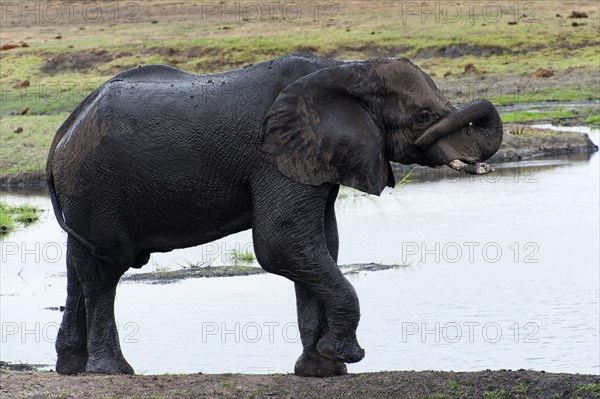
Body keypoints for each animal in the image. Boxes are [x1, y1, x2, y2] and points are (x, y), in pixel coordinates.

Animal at [47, 53, 504, 378]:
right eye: (422, 117)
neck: (348, 70)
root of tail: (65, 129)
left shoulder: (312, 157)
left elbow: (321, 245)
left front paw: (321, 370)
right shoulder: (273, 155)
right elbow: (282, 243)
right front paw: (344, 356)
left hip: (84, 192)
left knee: (77, 265)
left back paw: (71, 369)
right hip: (96, 186)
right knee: (104, 270)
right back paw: (112, 372)